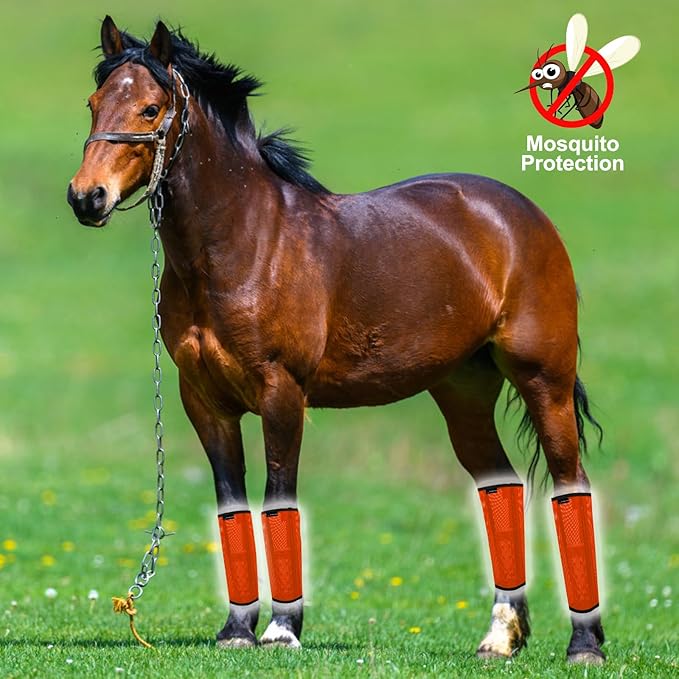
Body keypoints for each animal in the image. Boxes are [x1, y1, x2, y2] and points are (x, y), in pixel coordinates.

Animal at [67, 15, 604, 664]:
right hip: (463, 391)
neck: (244, 243)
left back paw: (585, 643)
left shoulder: (281, 394)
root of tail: (520, 213)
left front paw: (281, 629)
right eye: (93, 102)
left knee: (571, 486)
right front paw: (236, 630)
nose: (86, 197)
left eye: (150, 108)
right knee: (500, 485)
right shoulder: (205, 402)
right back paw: (501, 636)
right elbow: (231, 507)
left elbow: (279, 498)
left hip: (543, 381)